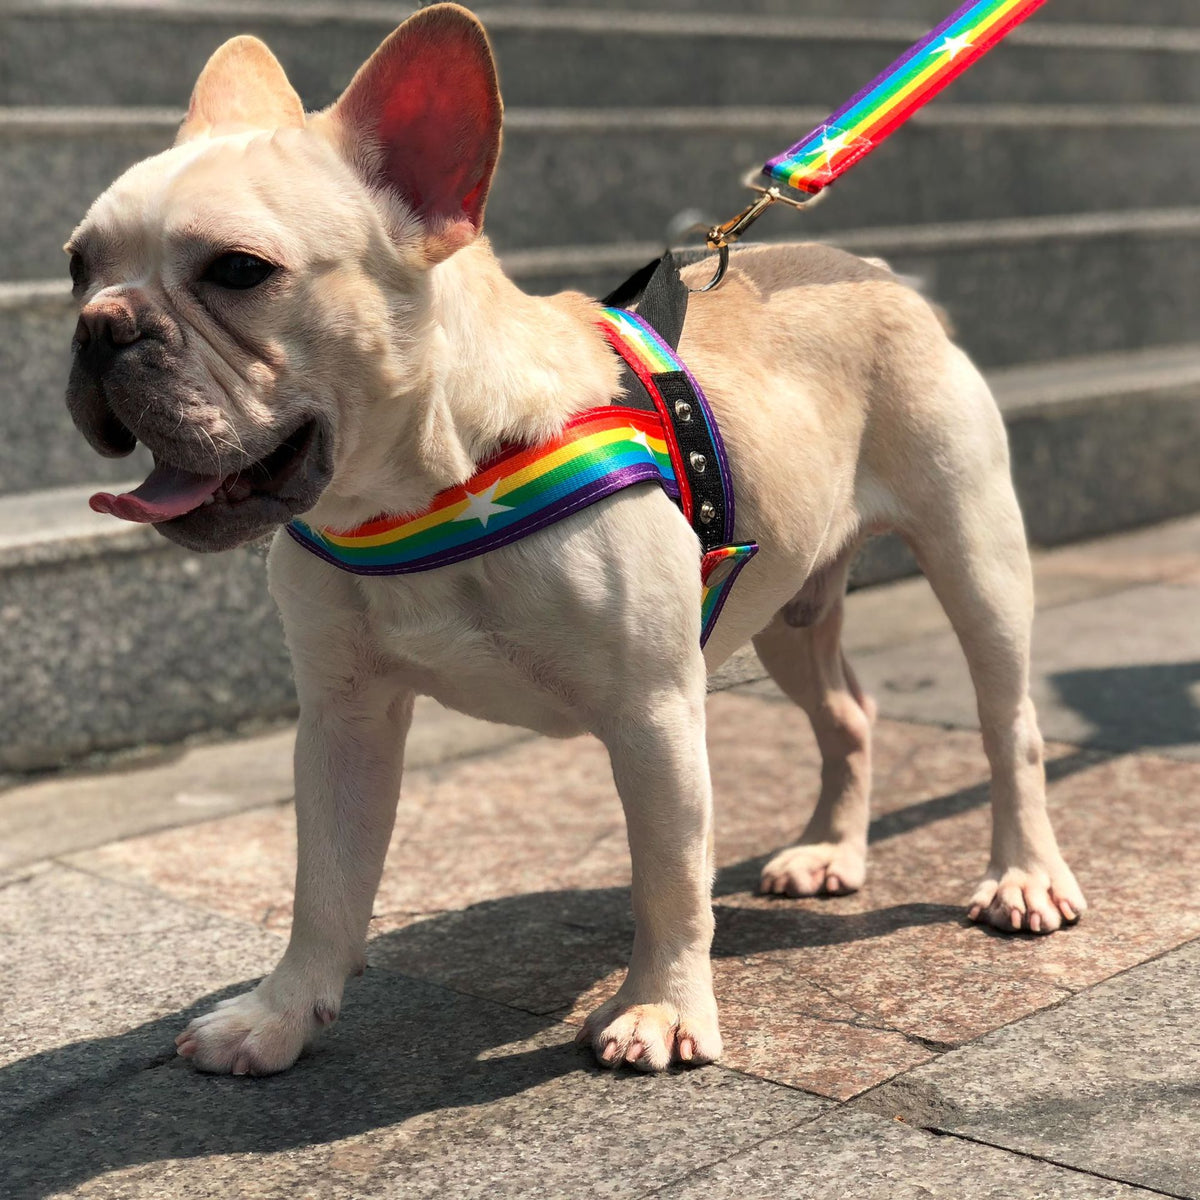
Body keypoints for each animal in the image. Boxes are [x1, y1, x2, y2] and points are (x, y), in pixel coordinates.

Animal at [63, 2, 1089, 1080]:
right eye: (77, 266)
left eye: (238, 271)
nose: (100, 326)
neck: (427, 484)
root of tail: (871, 269)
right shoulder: (344, 719)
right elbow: (325, 883)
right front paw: (280, 1013)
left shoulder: (653, 709)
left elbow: (668, 873)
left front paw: (662, 1009)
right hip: (788, 613)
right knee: (847, 713)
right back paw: (830, 852)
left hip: (974, 551)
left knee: (1009, 724)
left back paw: (1024, 877)